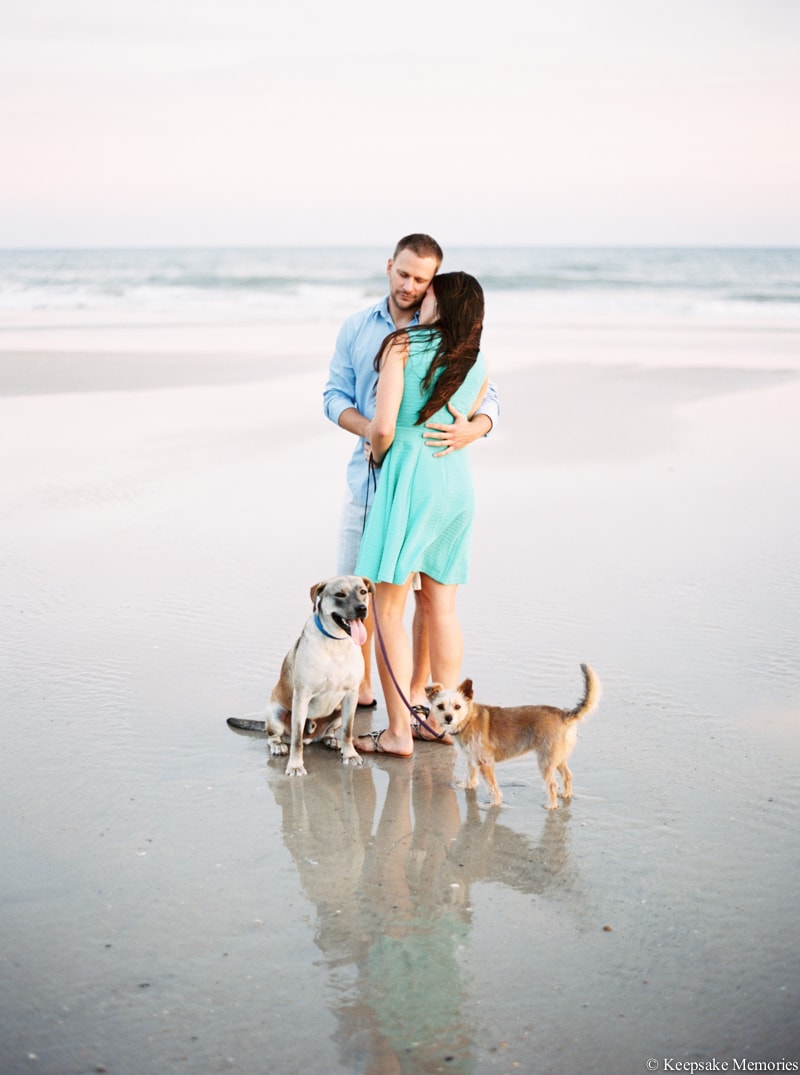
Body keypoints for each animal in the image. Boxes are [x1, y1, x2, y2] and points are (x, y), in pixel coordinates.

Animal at [227, 576, 372, 778]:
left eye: (363, 592)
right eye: (340, 594)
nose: (361, 608)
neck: (336, 643)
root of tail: (310, 738)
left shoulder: (351, 696)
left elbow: (348, 731)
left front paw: (350, 754)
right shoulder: (302, 697)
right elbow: (296, 739)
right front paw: (295, 765)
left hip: (338, 713)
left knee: (331, 732)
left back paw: (331, 740)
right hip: (275, 712)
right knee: (274, 736)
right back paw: (278, 745)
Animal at [425, 662, 602, 808]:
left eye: (457, 706)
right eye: (440, 706)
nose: (448, 718)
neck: (468, 719)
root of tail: (564, 714)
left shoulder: (486, 763)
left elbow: (493, 787)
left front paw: (494, 804)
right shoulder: (472, 760)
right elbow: (471, 776)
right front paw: (467, 787)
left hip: (545, 761)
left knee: (552, 784)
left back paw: (551, 806)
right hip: (557, 759)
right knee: (567, 776)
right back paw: (566, 794)